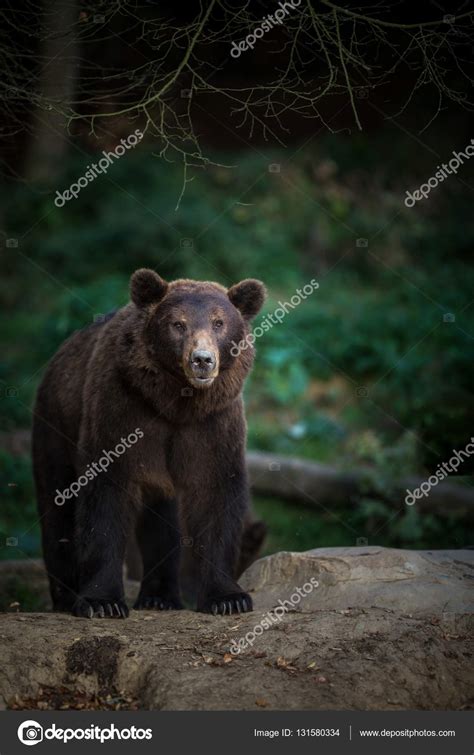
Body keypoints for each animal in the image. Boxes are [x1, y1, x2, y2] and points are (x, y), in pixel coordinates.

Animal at [32, 272, 266, 620]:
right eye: (178, 323)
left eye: (219, 322)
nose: (202, 360)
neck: (176, 404)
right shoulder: (121, 408)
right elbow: (105, 498)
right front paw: (102, 602)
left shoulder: (213, 424)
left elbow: (216, 496)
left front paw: (228, 598)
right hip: (56, 424)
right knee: (57, 500)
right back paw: (65, 597)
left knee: (161, 521)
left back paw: (160, 597)